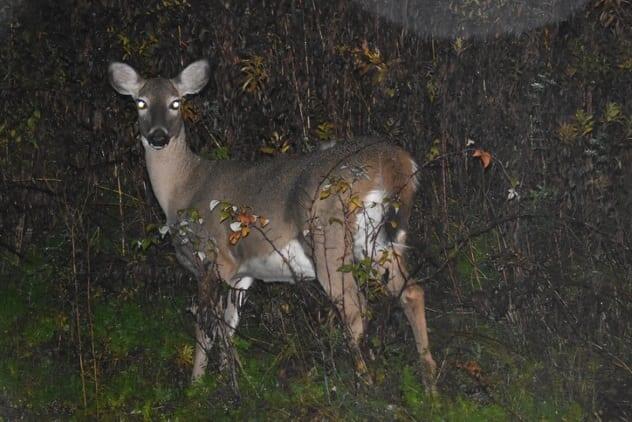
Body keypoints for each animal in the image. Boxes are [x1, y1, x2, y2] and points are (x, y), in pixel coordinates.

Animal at [108, 60, 436, 392]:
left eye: (176, 103)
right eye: (140, 102)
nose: (158, 137)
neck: (183, 188)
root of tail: (395, 162)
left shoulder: (209, 258)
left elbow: (205, 328)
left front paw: (197, 387)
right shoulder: (242, 274)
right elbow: (229, 327)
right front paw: (231, 382)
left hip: (328, 235)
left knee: (356, 308)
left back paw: (364, 385)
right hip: (380, 239)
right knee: (412, 292)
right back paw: (429, 384)